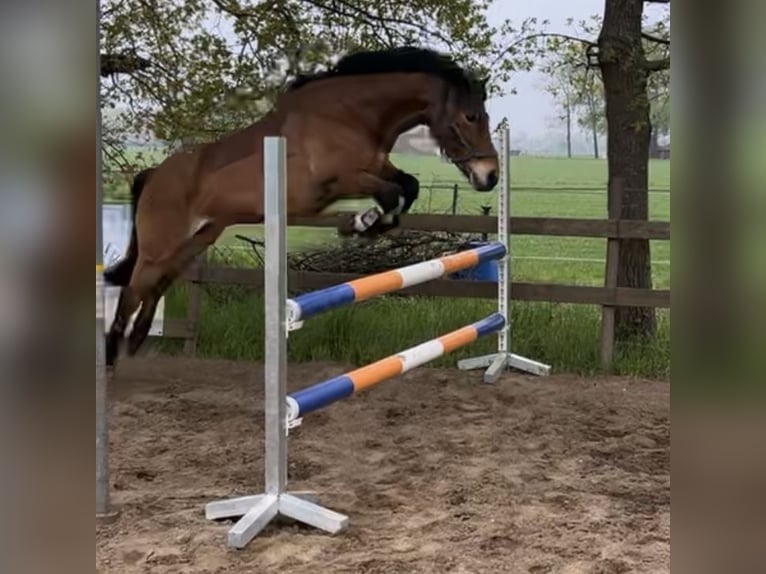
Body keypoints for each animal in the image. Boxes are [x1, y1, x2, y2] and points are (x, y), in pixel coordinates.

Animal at [103, 46, 500, 370]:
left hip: (197, 239)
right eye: (470, 117)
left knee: (154, 288)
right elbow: (389, 193)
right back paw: (112, 358)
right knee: (133, 290)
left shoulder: (376, 168)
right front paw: (361, 222)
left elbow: (408, 186)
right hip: (161, 246)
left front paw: (369, 224)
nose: (490, 176)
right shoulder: (332, 184)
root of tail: (155, 175)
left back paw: (134, 343)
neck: (349, 115)